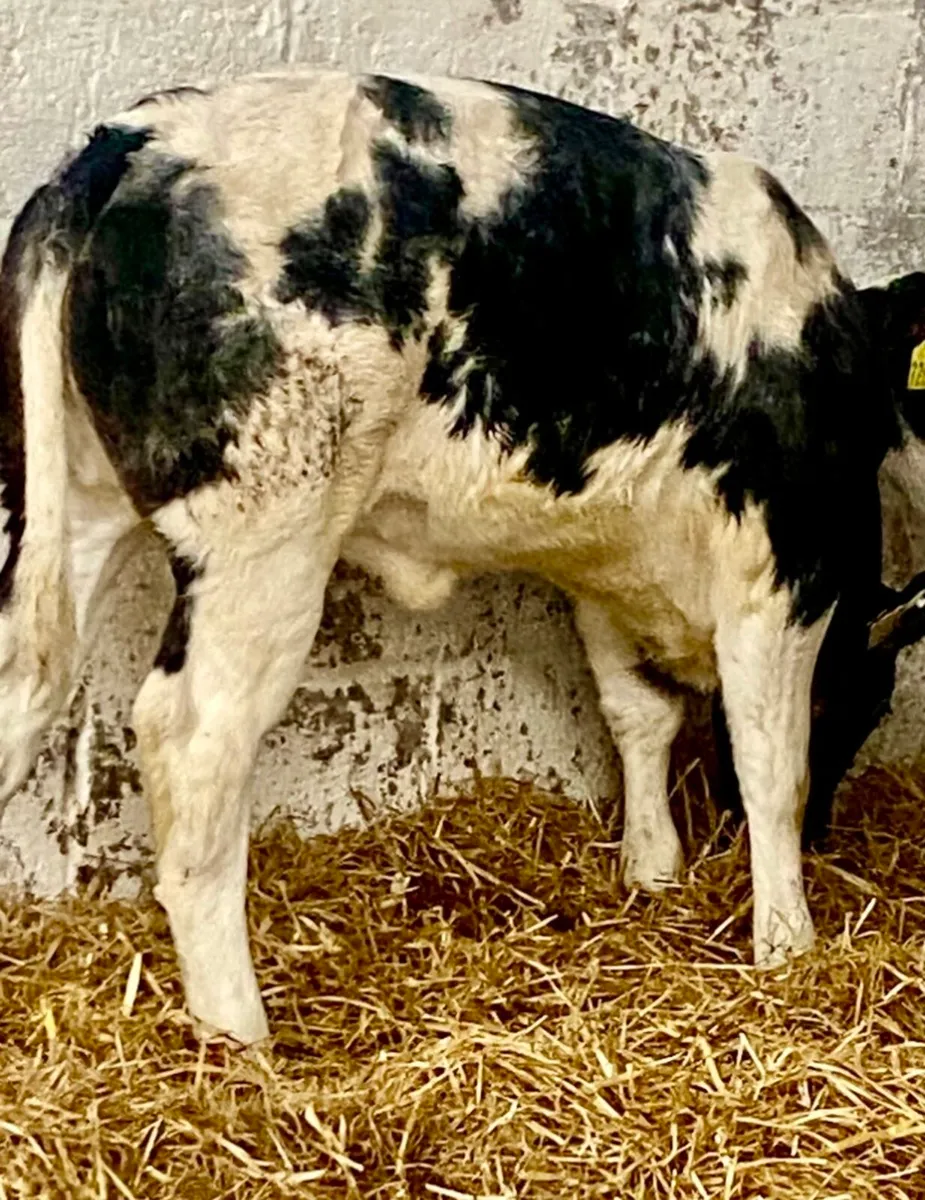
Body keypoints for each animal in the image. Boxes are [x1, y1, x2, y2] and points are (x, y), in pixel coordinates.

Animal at [0, 69, 923, 1045]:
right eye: (870, 701)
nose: (827, 836)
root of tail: (138, 135)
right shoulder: (781, 571)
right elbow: (768, 761)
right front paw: (787, 942)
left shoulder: (600, 566)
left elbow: (638, 716)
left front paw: (652, 871)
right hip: (266, 542)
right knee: (191, 743)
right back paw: (241, 1035)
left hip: (74, 504)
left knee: (25, 680)